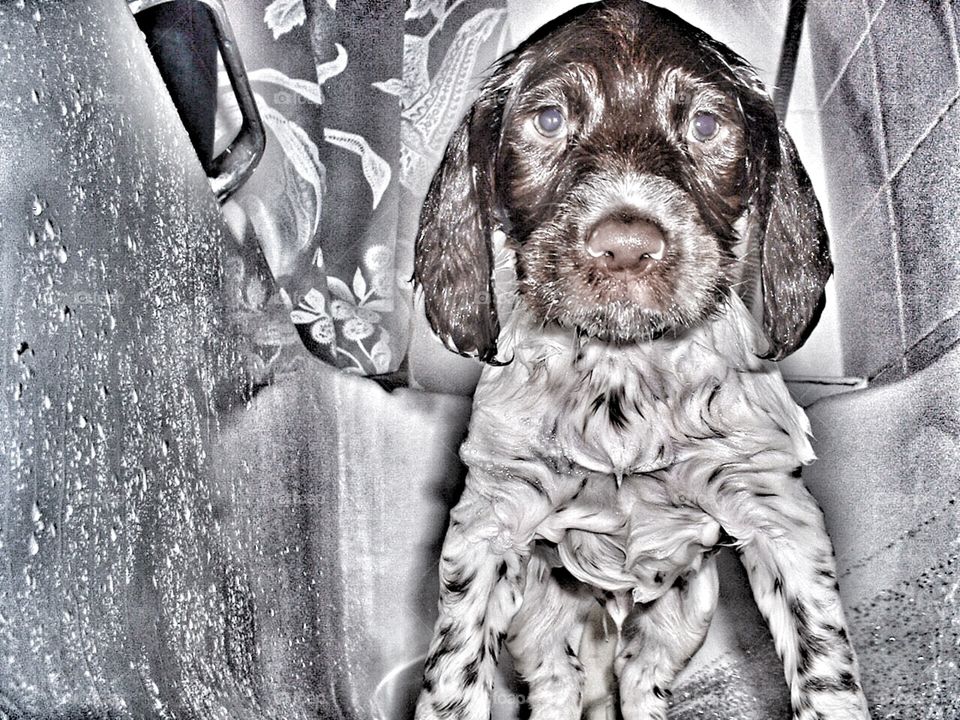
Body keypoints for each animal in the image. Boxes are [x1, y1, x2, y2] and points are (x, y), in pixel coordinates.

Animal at [412, 2, 872, 716]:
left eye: (705, 125)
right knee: (557, 683)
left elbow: (824, 664)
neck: (622, 371)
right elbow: (453, 676)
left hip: (682, 611)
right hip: (542, 620)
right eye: (548, 120)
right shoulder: (491, 517)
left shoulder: (776, 511)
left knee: (639, 676)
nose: (626, 245)